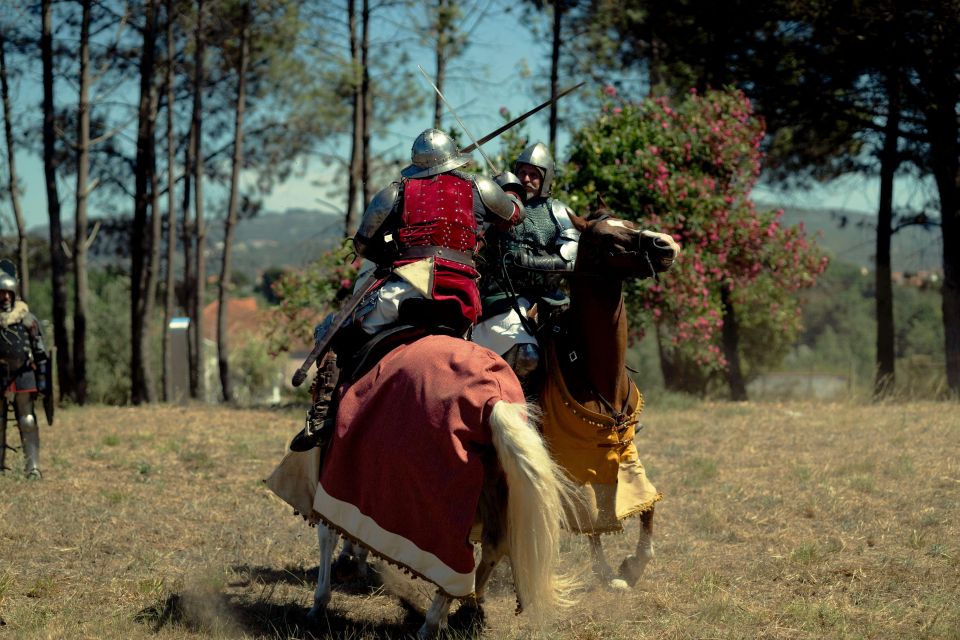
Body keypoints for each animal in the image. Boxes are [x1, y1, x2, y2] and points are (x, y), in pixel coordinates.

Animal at [264, 332, 576, 636]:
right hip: (493, 489)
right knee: (492, 546)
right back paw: (466, 611)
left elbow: (326, 534)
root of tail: (493, 399)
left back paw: (431, 624)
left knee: (456, 560)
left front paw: (319, 603)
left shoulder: (335, 474)